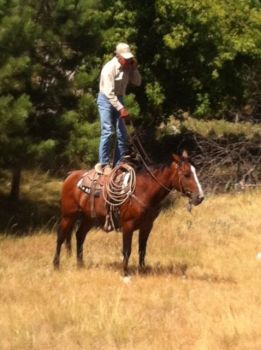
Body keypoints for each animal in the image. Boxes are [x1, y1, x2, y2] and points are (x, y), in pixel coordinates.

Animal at [52, 153, 203, 276]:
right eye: (186, 174)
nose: (200, 197)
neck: (142, 191)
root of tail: (71, 175)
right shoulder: (128, 225)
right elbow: (127, 250)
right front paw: (125, 272)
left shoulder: (147, 226)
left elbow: (142, 249)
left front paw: (142, 270)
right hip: (68, 216)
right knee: (60, 237)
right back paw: (56, 265)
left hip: (89, 218)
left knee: (80, 235)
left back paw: (80, 264)